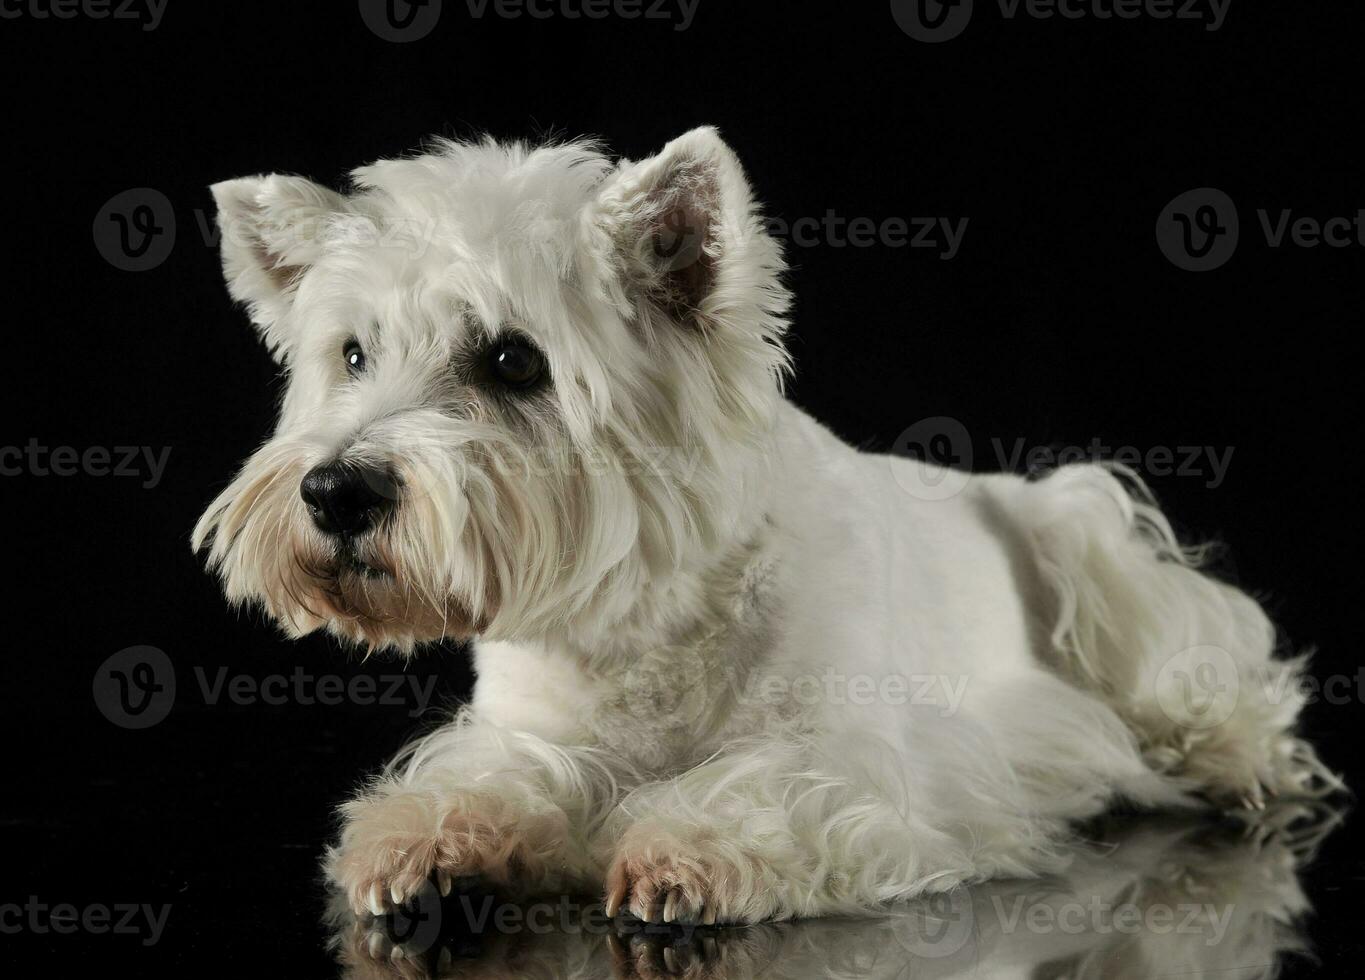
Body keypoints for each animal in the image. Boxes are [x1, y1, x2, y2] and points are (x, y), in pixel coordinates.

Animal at [197, 128, 1337, 928]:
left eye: (514, 360)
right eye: (352, 354)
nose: (336, 493)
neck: (640, 627)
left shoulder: (857, 761)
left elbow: (762, 792)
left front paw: (685, 851)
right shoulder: (536, 731)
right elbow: (490, 773)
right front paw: (420, 839)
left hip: (1093, 553)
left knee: (1209, 681)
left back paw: (1244, 762)